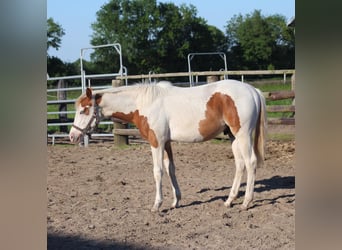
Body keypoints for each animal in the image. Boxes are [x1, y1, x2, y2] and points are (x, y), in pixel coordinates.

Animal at [69, 80, 268, 211]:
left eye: (83, 110)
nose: (73, 136)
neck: (144, 104)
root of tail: (253, 90)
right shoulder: (166, 143)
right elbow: (170, 168)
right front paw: (175, 201)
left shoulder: (156, 142)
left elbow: (158, 172)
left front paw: (157, 205)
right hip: (233, 137)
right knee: (240, 165)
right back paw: (229, 200)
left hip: (242, 135)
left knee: (250, 162)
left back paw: (246, 202)